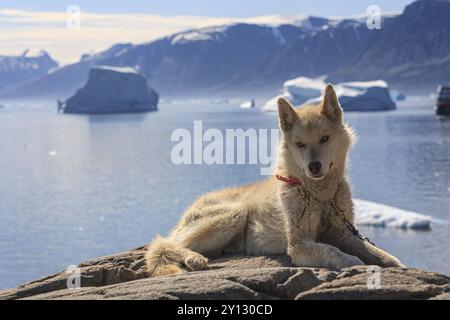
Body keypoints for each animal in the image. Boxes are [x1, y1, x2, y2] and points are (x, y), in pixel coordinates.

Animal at [145, 84, 404, 276]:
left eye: (324, 138)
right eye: (300, 144)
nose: (314, 166)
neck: (319, 195)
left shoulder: (344, 233)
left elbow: (381, 254)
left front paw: (393, 264)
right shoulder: (299, 245)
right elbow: (335, 252)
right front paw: (357, 263)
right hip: (234, 215)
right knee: (169, 245)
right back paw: (193, 257)